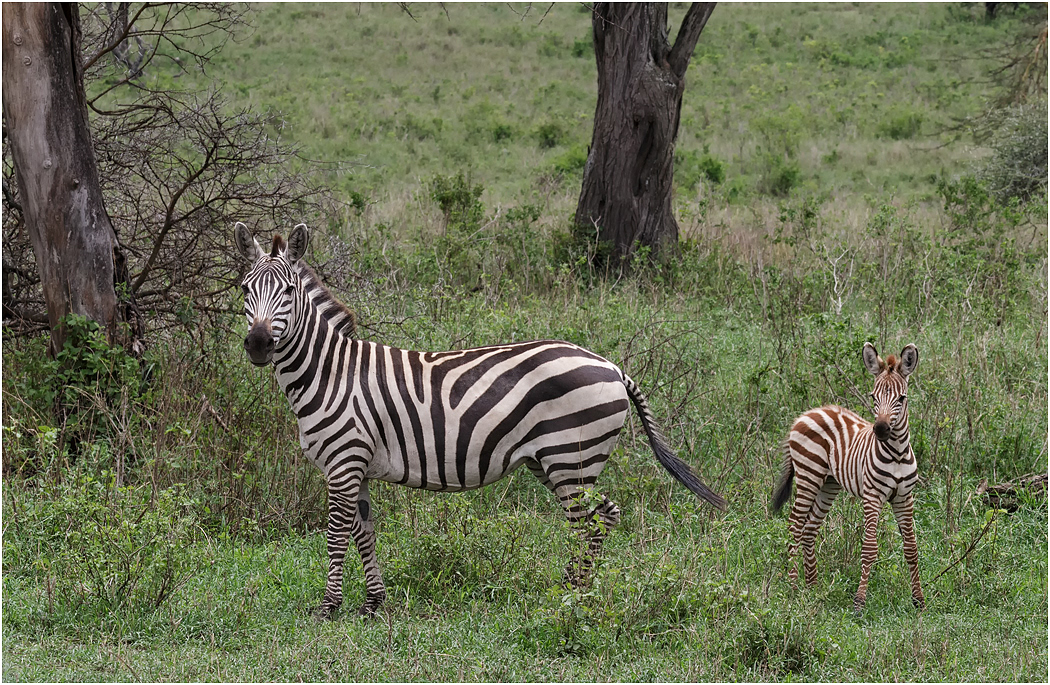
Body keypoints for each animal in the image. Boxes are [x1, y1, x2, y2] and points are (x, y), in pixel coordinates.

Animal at [234, 222, 728, 618]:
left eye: (288, 292)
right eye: (244, 291)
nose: (257, 344)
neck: (329, 372)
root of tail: (610, 365)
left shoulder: (343, 461)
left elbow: (337, 536)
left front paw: (328, 608)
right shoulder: (358, 468)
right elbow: (364, 533)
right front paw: (374, 603)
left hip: (570, 457)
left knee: (590, 522)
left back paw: (573, 597)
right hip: (554, 462)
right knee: (603, 515)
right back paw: (573, 590)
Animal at [772, 342, 924, 612]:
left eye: (901, 398)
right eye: (874, 397)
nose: (881, 429)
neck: (896, 453)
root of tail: (806, 413)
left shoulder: (904, 497)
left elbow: (911, 548)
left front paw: (918, 600)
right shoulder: (873, 496)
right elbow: (869, 548)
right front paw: (859, 601)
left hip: (828, 484)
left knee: (810, 529)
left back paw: (813, 587)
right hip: (809, 475)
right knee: (795, 526)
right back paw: (793, 586)